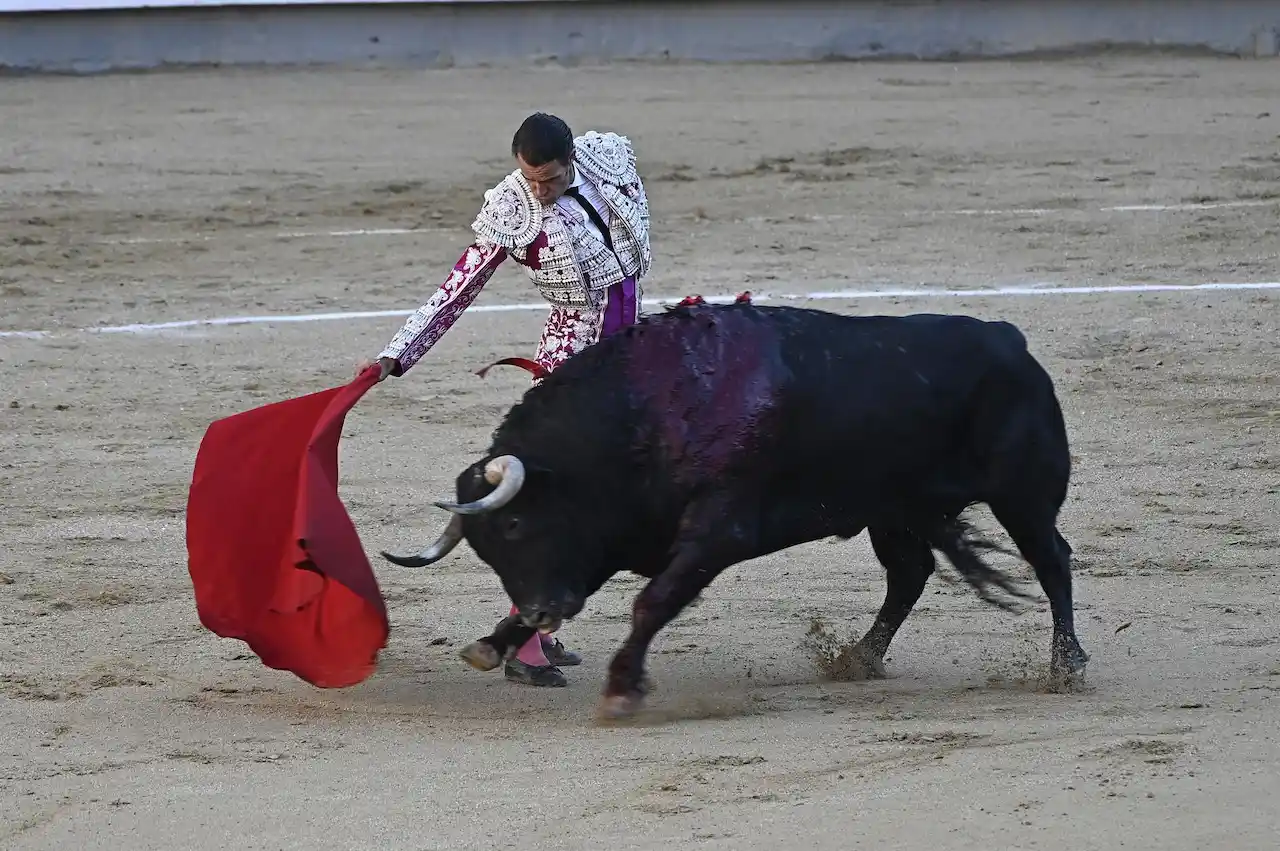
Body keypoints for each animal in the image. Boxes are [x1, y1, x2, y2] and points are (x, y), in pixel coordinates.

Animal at [373, 302, 1085, 721]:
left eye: (517, 524)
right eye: (486, 548)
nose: (545, 614)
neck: (645, 411)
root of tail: (1011, 340)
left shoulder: (717, 532)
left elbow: (653, 602)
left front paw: (622, 688)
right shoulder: (609, 538)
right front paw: (493, 644)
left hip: (1023, 493)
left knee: (1052, 560)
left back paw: (1066, 665)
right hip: (896, 509)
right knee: (909, 572)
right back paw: (859, 658)